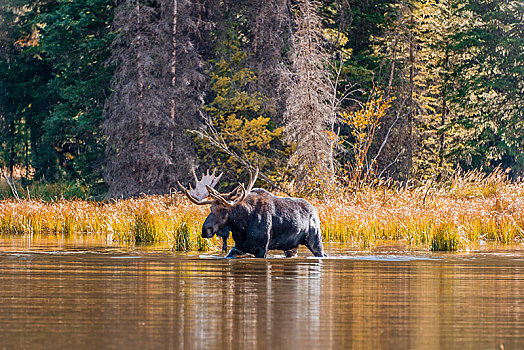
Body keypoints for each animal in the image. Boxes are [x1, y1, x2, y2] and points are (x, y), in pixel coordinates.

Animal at [180, 167, 328, 258]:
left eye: (223, 209)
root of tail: (315, 211)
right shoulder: (240, 247)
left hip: (315, 240)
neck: (241, 226)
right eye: (210, 209)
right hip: (291, 247)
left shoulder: (261, 248)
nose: (205, 230)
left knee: (323, 253)